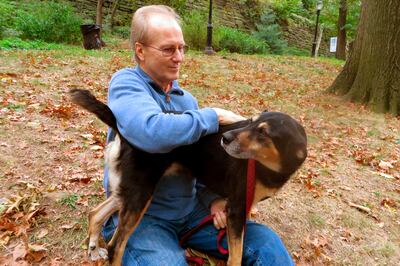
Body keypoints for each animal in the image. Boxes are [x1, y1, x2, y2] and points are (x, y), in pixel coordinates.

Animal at [69, 89, 308, 266]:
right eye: (251, 121)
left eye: (263, 132)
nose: (225, 138)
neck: (266, 167)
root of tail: (122, 127)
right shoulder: (238, 207)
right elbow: (236, 256)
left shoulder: (242, 208)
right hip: (140, 194)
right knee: (115, 246)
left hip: (130, 190)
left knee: (95, 213)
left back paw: (93, 248)